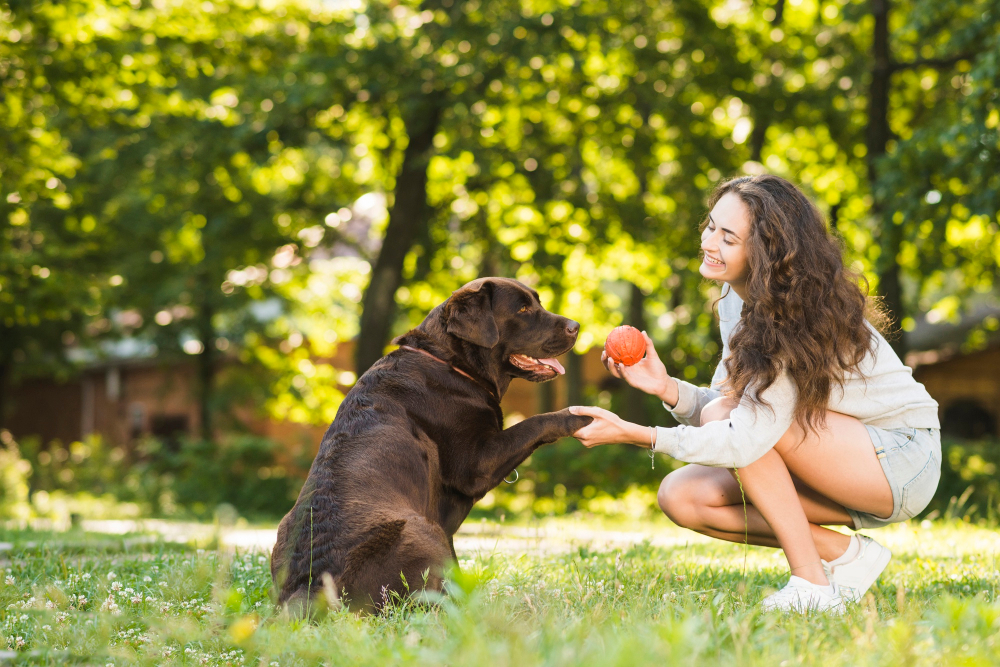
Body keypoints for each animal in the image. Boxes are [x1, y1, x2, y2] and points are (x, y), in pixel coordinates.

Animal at [270, 278, 588, 616]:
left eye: (537, 302)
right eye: (524, 309)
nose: (576, 326)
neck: (451, 363)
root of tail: (310, 584)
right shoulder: (476, 465)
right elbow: (535, 422)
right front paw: (580, 416)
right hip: (421, 530)